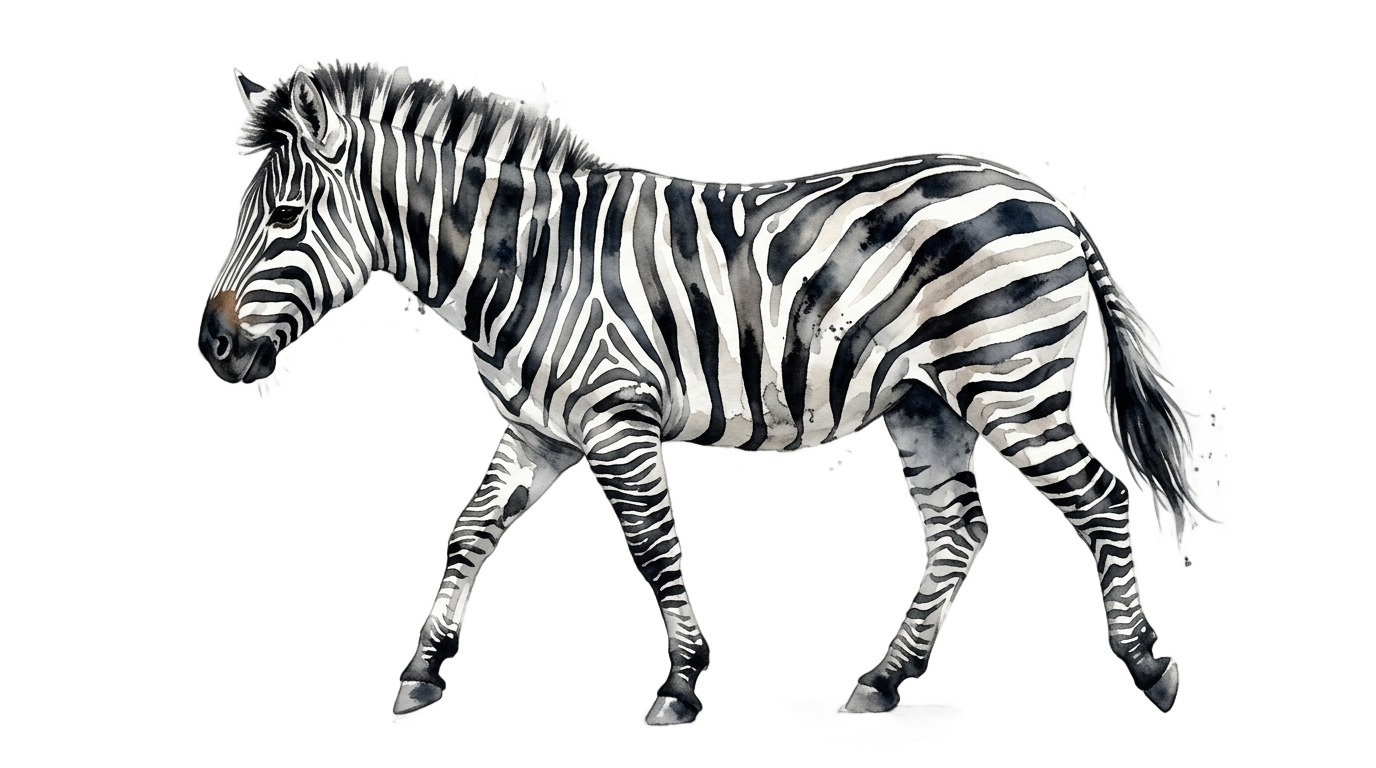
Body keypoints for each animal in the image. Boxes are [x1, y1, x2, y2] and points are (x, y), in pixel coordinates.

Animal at [198, 63, 1194, 723]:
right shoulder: (537, 430)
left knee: (1104, 503)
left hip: (1009, 386)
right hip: (926, 403)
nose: (210, 341)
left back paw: (1148, 667)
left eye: (284, 217)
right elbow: (469, 535)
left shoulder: (616, 421)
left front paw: (679, 687)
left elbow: (655, 551)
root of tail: (1048, 202)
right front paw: (422, 669)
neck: (528, 264)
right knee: (957, 530)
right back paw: (885, 682)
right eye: (246, 213)